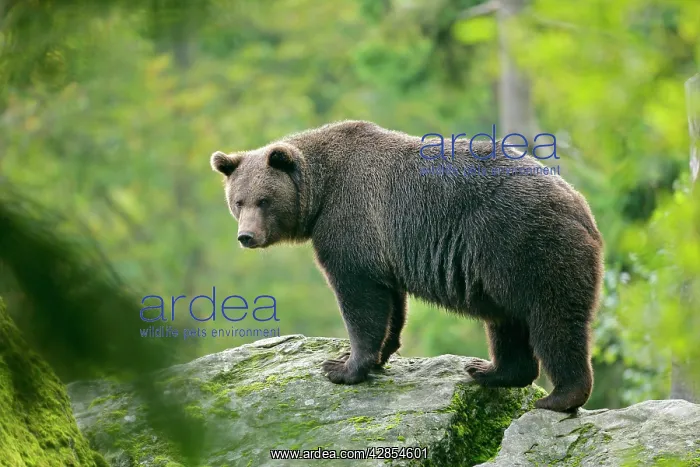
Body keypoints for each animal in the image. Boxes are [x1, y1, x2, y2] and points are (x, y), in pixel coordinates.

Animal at [210, 120, 604, 413]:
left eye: (264, 200)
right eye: (238, 201)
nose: (247, 236)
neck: (320, 192)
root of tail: (582, 205)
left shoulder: (351, 219)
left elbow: (359, 297)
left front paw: (341, 367)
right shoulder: (386, 248)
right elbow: (390, 305)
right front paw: (375, 355)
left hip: (524, 243)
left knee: (553, 318)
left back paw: (559, 397)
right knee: (505, 322)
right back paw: (487, 370)